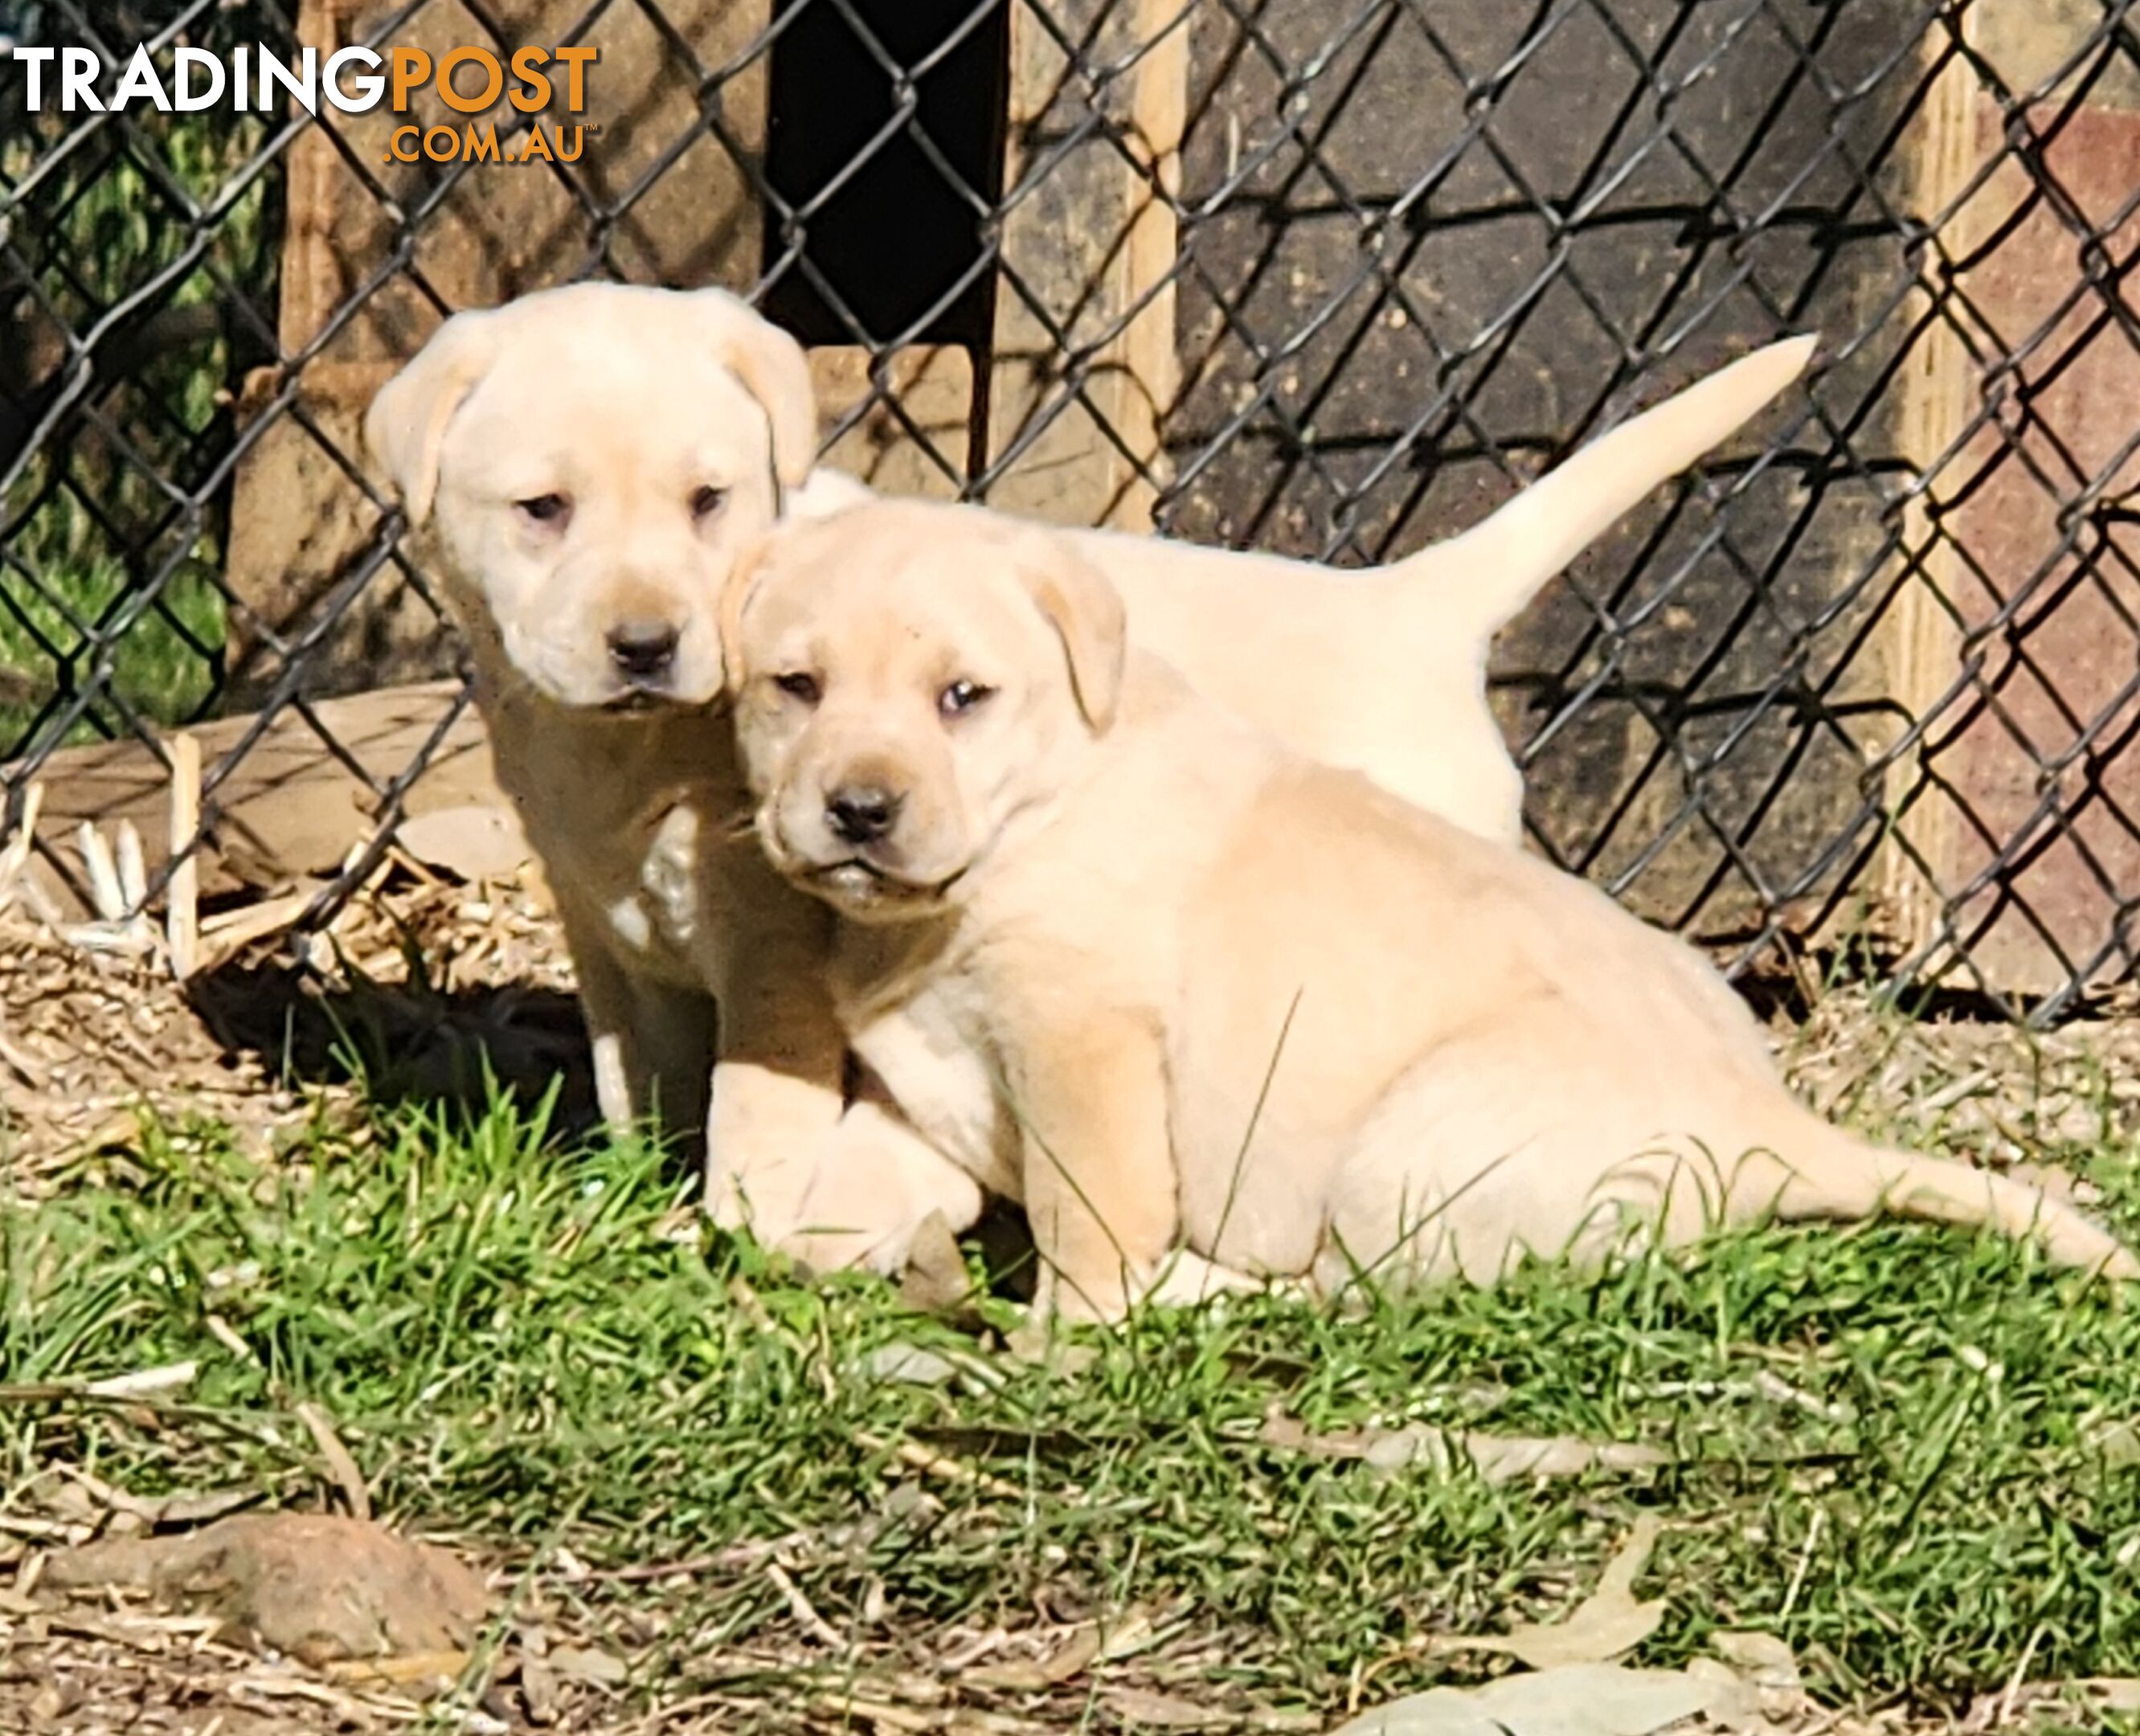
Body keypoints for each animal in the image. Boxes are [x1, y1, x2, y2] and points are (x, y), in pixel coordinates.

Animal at [363, 278, 1806, 1267]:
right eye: (542, 511)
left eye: (709, 501)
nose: (649, 644)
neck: (618, 753)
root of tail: (1408, 605)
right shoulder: (606, 936)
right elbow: (640, 1087)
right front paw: (636, 1198)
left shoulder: (774, 956)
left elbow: (757, 1110)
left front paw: (742, 1229)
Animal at [723, 498, 2140, 1318]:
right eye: (794, 687)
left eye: (963, 697)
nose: (857, 810)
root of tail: (1777, 1131)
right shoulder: (920, 1065)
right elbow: (858, 1170)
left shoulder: (1083, 1047)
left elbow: (1094, 1225)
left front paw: (1058, 1343)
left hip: (1395, 1149)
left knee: (1350, 1292)